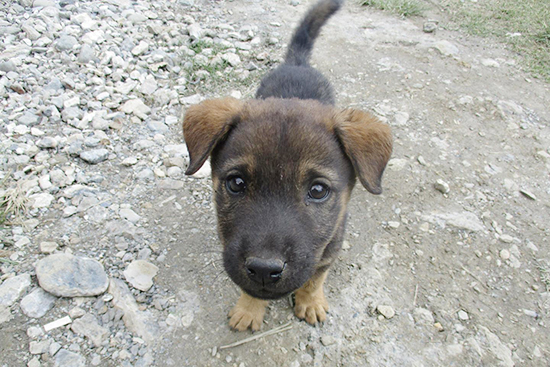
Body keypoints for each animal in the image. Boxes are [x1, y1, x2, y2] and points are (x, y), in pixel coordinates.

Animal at [182, 0, 392, 334]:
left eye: (318, 190)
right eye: (236, 183)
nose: (264, 270)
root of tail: (297, 63)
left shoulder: (329, 248)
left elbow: (315, 278)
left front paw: (311, 302)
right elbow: (249, 289)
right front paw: (249, 309)